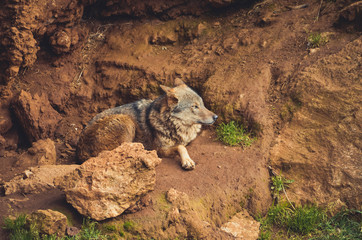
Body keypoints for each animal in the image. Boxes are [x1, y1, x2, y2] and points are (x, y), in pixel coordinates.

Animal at [75, 79, 218, 169]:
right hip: (126, 122)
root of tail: (79, 152)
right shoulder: (160, 149)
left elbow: (183, 145)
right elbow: (181, 147)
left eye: (202, 104)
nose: (216, 117)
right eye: (195, 106)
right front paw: (187, 161)